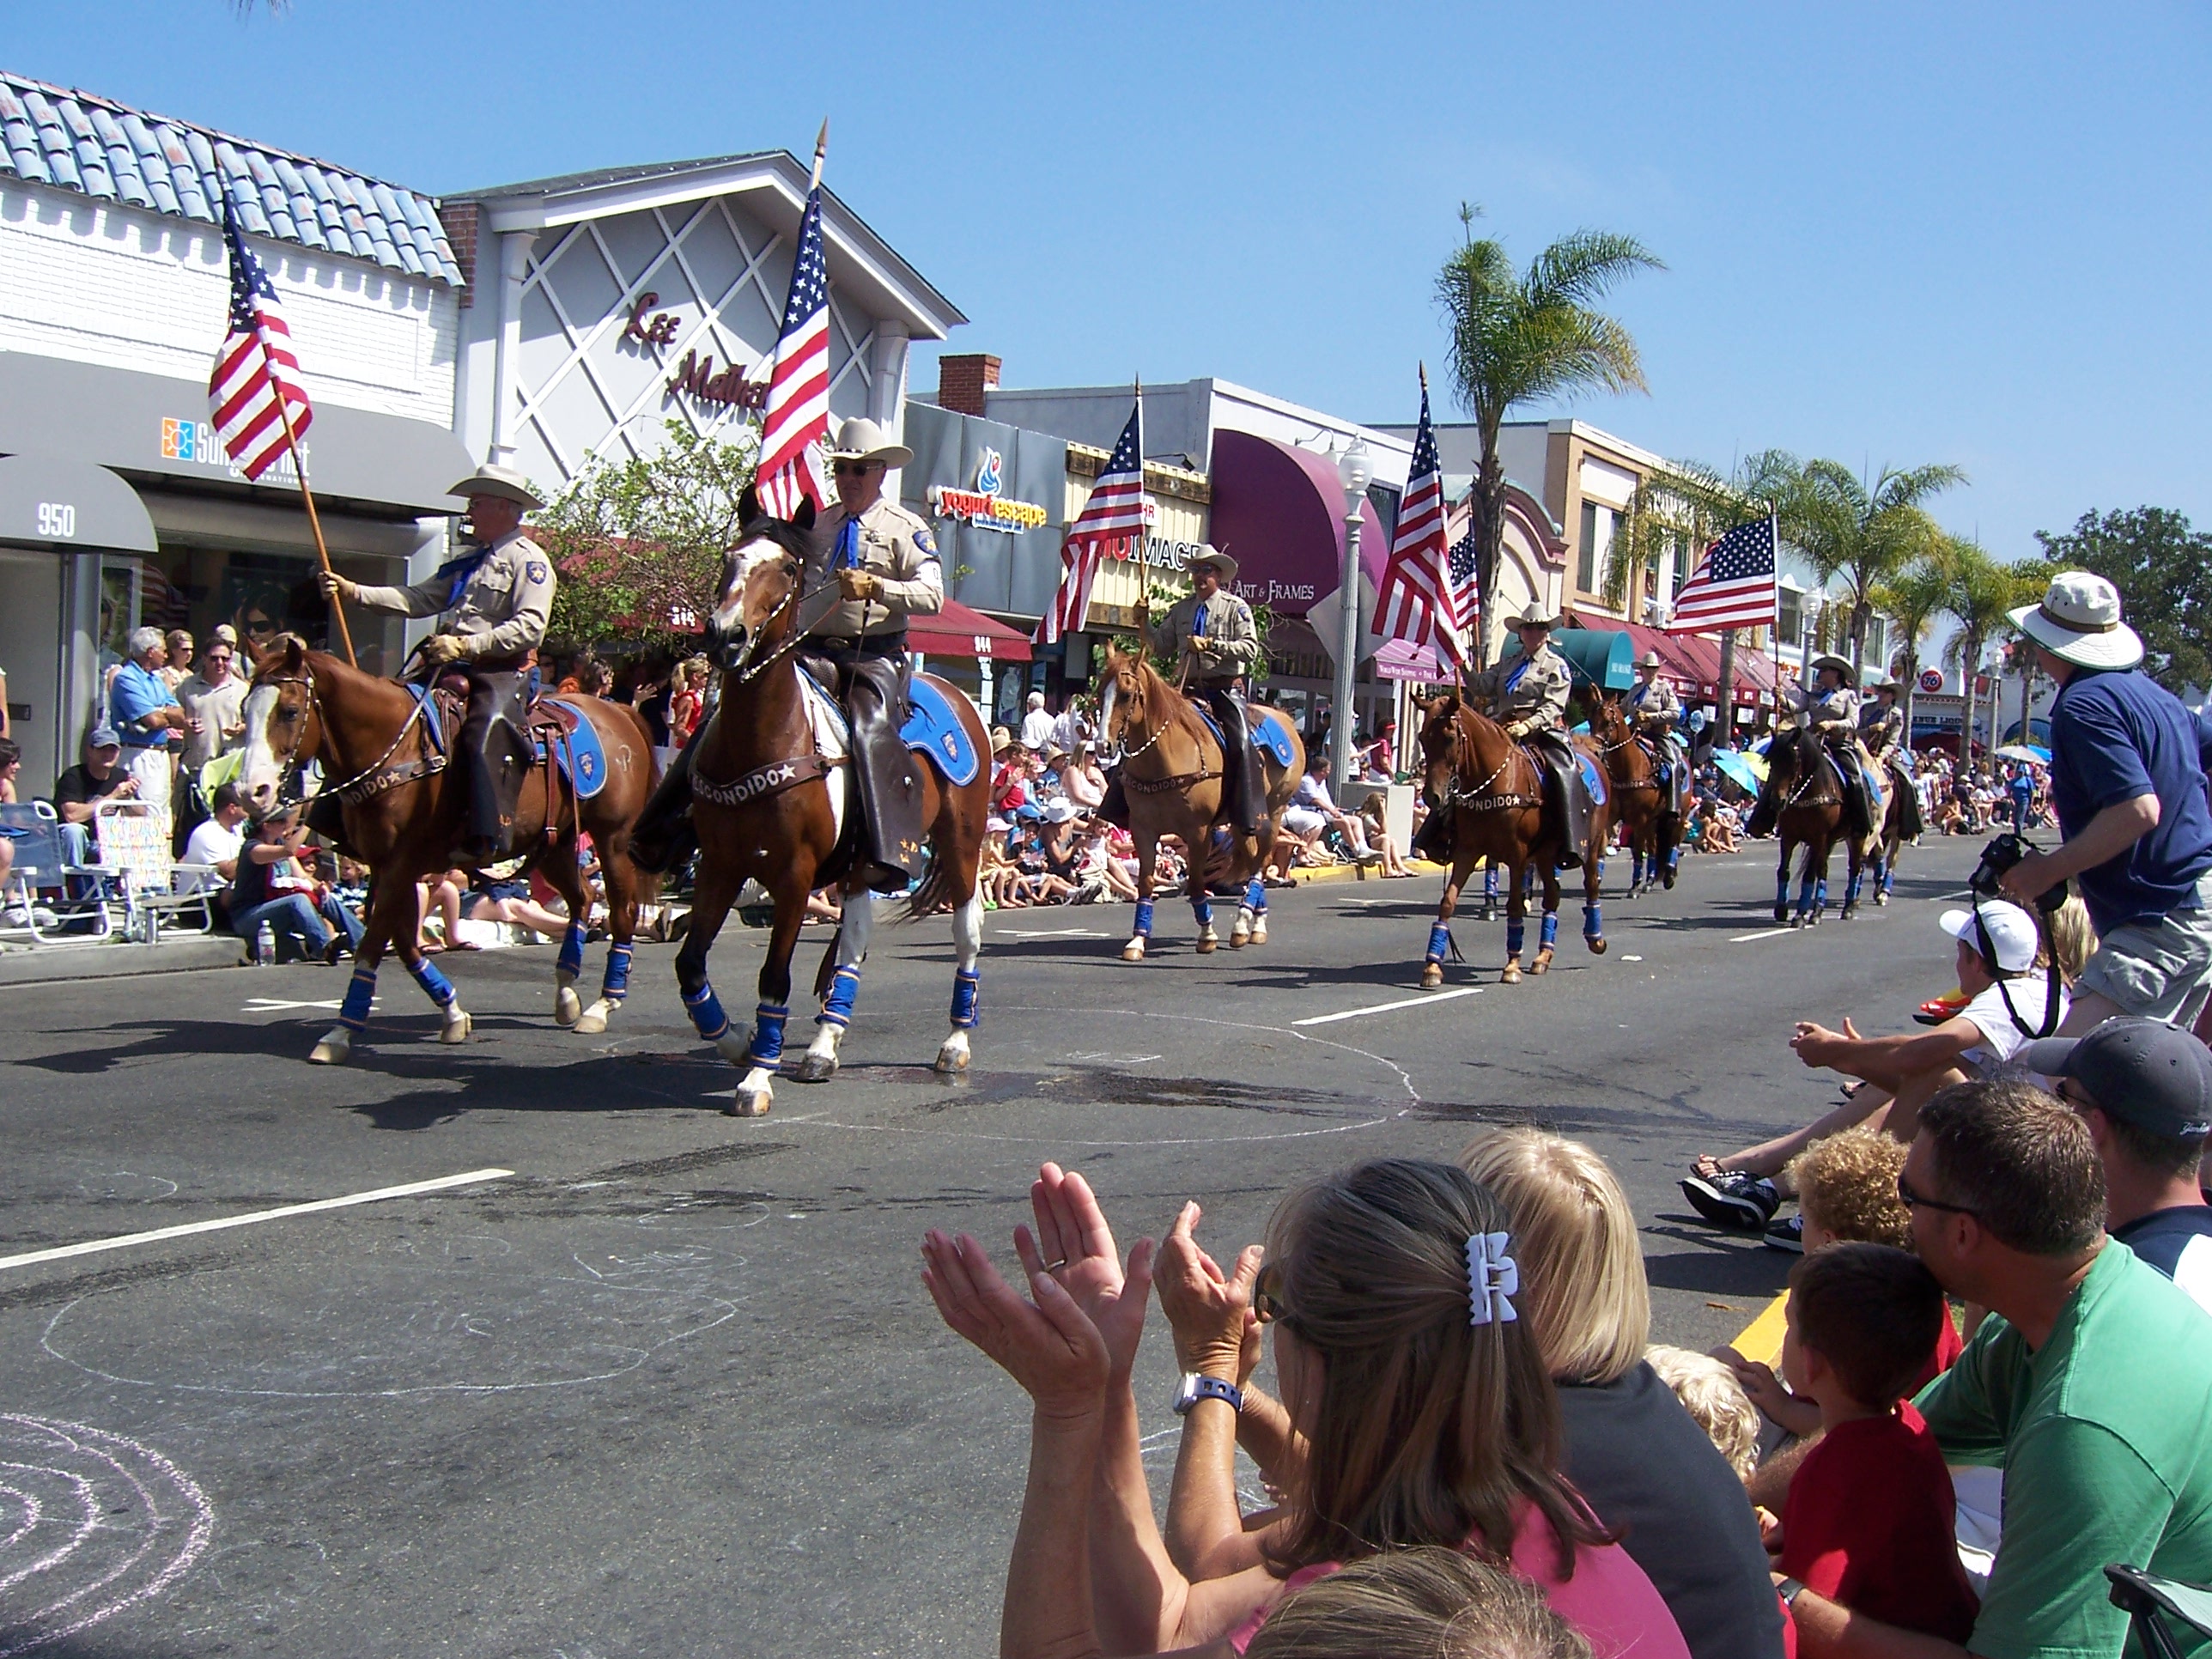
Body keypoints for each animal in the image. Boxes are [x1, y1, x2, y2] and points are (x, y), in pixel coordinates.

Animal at [240, 636, 659, 1066]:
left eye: (290, 711)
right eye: (244, 709)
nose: (250, 791)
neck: (398, 749)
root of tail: (618, 710)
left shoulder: (399, 865)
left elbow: (373, 945)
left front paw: (340, 1032)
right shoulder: (390, 867)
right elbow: (404, 942)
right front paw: (453, 1014)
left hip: (613, 839)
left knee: (622, 912)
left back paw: (602, 1005)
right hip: (553, 843)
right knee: (583, 898)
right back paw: (565, 993)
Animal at [667, 486, 991, 1123]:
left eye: (788, 569)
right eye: (731, 556)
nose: (725, 636)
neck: (762, 738)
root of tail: (959, 696)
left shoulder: (792, 877)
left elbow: (774, 977)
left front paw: (757, 1077)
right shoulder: (720, 867)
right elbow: (690, 963)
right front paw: (736, 1041)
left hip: (961, 845)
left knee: (967, 931)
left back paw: (956, 1042)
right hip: (867, 860)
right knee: (856, 938)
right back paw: (823, 1044)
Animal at [1097, 646, 1300, 959]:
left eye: (1127, 694)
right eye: (1099, 691)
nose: (1102, 745)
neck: (1164, 760)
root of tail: (1286, 719)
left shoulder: (1199, 831)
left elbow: (1195, 884)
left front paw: (1207, 935)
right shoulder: (1143, 830)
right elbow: (1146, 883)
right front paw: (1138, 940)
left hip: (1272, 812)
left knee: (1260, 864)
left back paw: (1247, 924)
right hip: (1243, 822)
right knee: (1254, 859)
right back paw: (1251, 924)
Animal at [1415, 699, 1610, 995]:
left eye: (1449, 737)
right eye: (1422, 738)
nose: (1431, 797)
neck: (1494, 781)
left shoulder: (1517, 857)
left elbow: (1515, 906)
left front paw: (1512, 966)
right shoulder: (1468, 852)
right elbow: (1448, 901)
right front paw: (1432, 967)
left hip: (1590, 847)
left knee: (1592, 887)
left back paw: (1595, 939)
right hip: (1545, 854)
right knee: (1553, 896)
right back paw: (1543, 956)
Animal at [1583, 694, 1680, 902]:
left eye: (1608, 722)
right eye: (1590, 720)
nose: (1595, 751)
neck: (1627, 769)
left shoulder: (1639, 820)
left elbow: (1637, 853)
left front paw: (1634, 886)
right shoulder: (1610, 818)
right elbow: (1602, 848)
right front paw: (1597, 878)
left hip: (1677, 816)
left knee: (1673, 842)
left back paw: (1668, 877)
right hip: (1653, 822)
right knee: (1653, 848)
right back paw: (1650, 881)